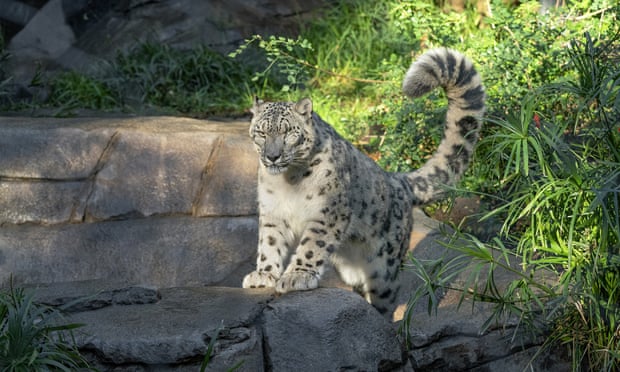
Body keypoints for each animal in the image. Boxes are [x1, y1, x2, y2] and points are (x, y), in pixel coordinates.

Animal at [242, 48, 484, 316]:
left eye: (288, 133)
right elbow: (269, 243)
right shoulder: (272, 211)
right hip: (352, 270)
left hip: (384, 266)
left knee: (386, 296)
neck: (288, 182)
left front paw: (297, 276)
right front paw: (263, 275)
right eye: (261, 132)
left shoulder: (328, 212)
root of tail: (397, 180)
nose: (272, 156)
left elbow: (312, 245)